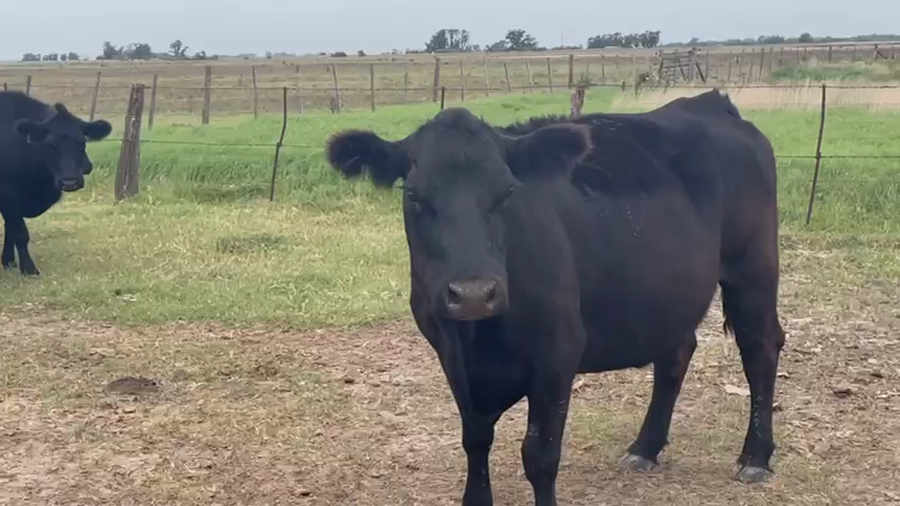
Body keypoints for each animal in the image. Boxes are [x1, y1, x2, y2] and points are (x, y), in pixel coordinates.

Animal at [0, 91, 112, 276]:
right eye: (50, 145)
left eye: (82, 143)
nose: (70, 182)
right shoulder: (8, 194)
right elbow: (20, 232)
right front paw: (29, 269)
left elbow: (11, 230)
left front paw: (8, 261)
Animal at [325, 89, 785, 506]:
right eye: (414, 196)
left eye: (508, 192)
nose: (474, 294)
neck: (480, 339)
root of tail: (710, 102)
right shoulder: (450, 353)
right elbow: (475, 439)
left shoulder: (557, 355)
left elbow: (540, 457)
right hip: (668, 293)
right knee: (677, 352)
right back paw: (644, 448)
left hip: (753, 269)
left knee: (761, 348)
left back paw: (755, 457)